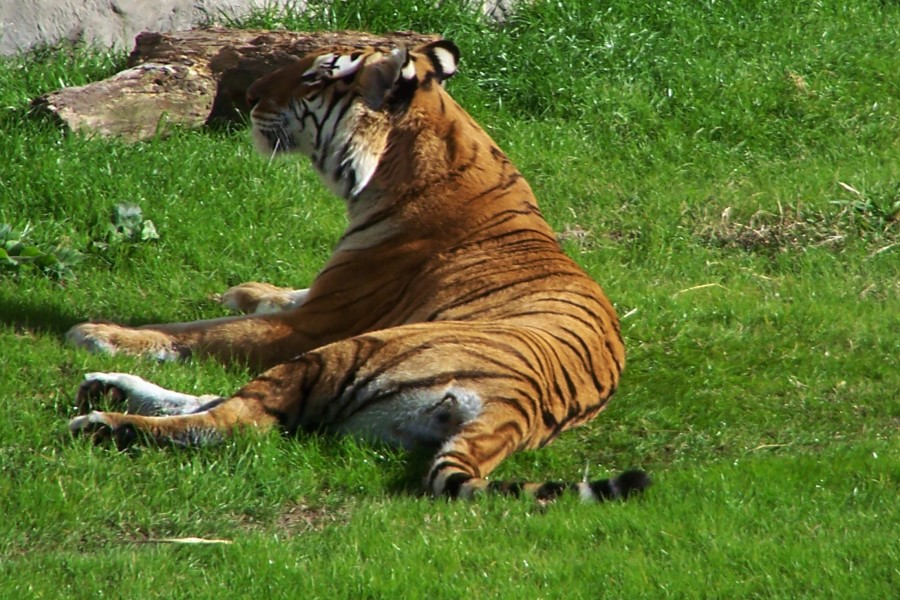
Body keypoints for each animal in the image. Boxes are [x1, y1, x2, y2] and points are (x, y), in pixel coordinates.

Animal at [68, 39, 648, 502]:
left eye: (315, 76)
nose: (249, 94)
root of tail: (517, 408)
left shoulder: (317, 323)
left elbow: (199, 333)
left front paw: (99, 332)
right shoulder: (324, 296)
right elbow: (278, 296)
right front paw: (243, 289)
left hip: (351, 349)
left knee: (237, 420)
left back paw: (105, 421)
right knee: (231, 401)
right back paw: (106, 388)